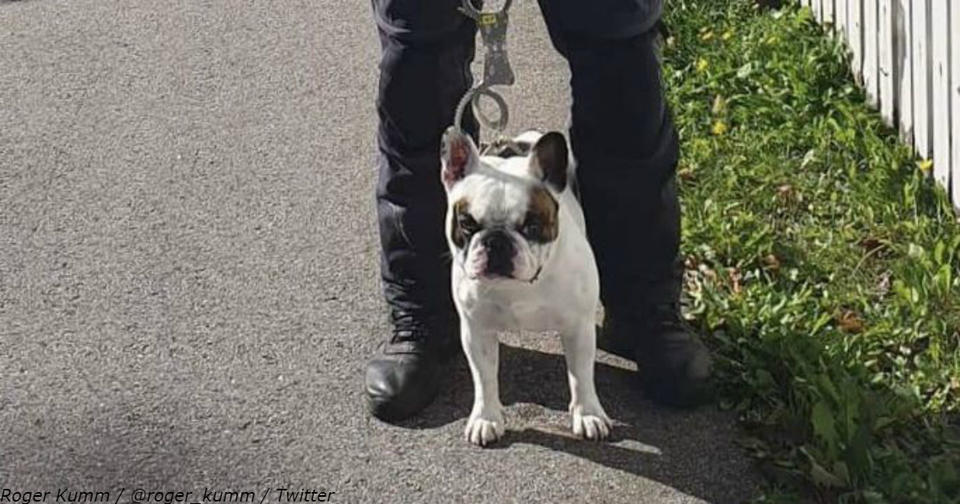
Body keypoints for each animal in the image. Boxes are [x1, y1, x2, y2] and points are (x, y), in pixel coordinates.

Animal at [440, 126, 612, 444]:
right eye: (467, 223)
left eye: (532, 226)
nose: (496, 241)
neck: (520, 286)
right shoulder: (476, 331)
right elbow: (484, 377)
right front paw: (486, 417)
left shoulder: (578, 328)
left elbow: (581, 375)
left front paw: (588, 414)